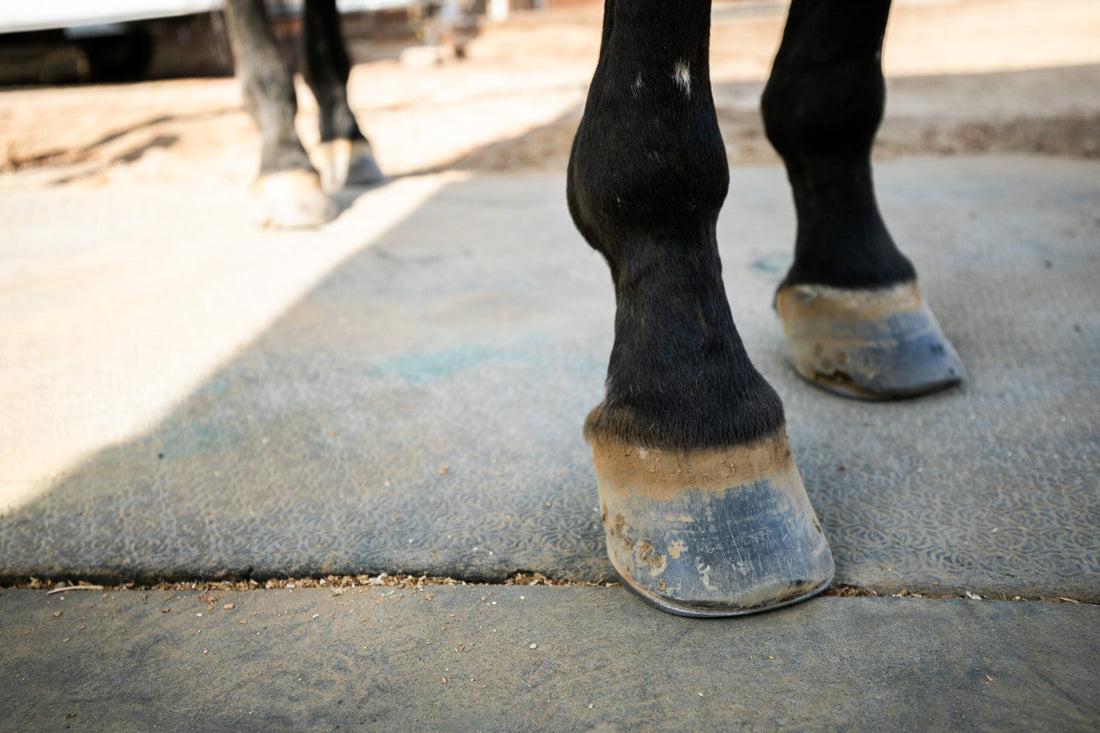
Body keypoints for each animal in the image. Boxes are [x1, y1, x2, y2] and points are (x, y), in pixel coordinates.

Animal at [224, 0, 965, 616]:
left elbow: (833, 88)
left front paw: (859, 279)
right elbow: (659, 149)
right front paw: (698, 414)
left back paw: (345, 142)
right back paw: (289, 167)